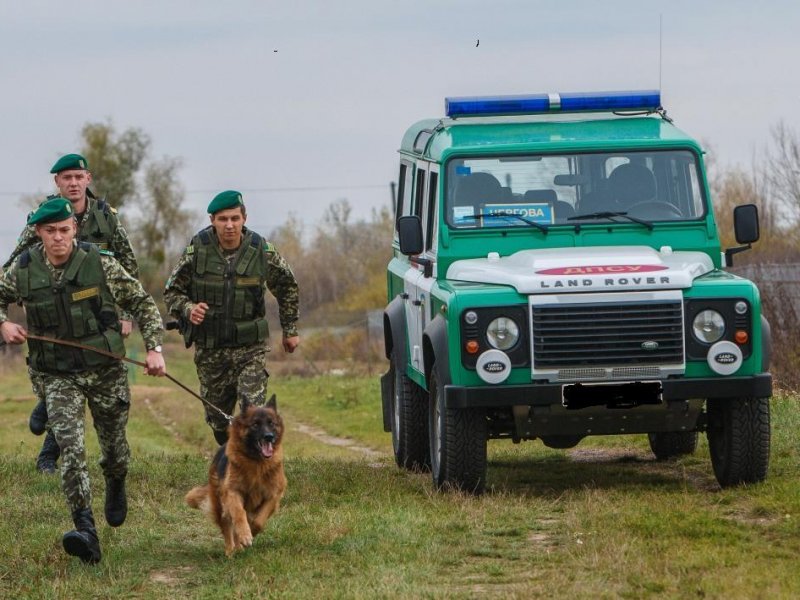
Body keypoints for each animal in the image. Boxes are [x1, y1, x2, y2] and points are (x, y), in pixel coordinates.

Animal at [186, 396, 286, 556]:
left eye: (271, 423)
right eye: (255, 424)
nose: (269, 437)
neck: (256, 462)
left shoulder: (274, 494)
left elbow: (258, 521)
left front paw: (250, 532)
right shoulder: (233, 492)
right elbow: (239, 514)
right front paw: (245, 535)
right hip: (220, 503)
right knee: (226, 525)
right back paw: (230, 550)